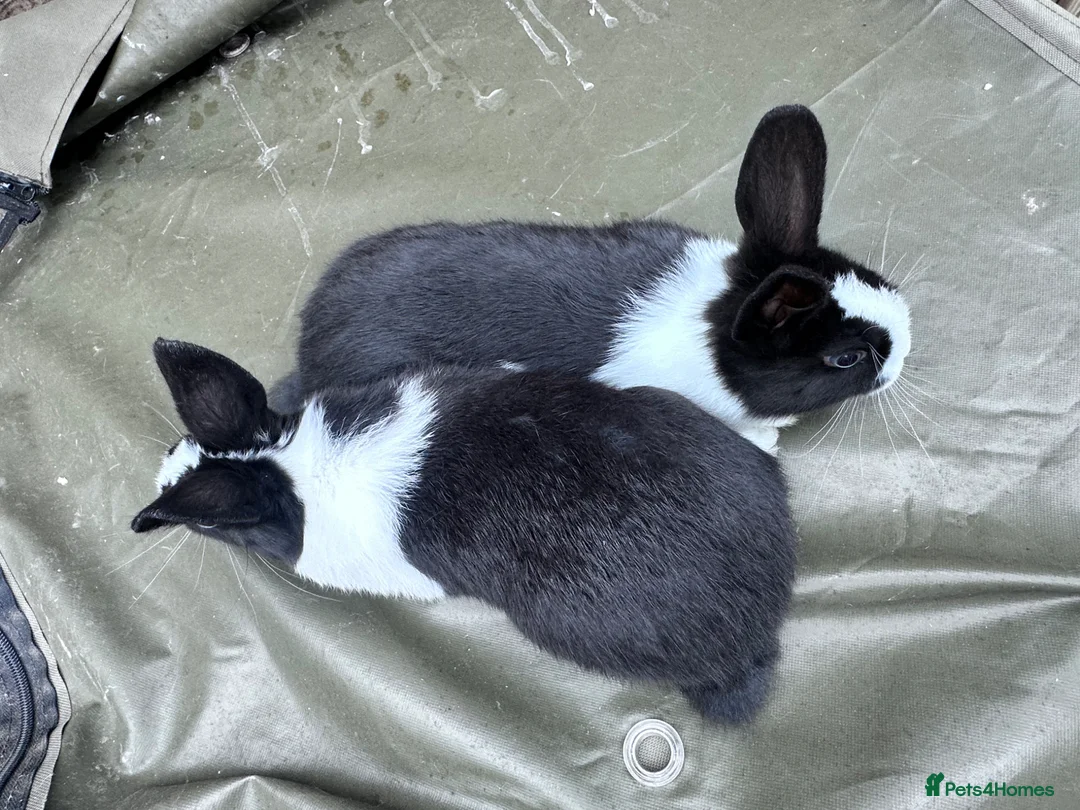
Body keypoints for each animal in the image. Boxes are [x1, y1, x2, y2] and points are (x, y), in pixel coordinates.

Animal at [278, 104, 912, 456]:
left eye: (866, 273)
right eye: (846, 359)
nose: (906, 346)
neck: (711, 327)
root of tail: (308, 355)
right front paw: (767, 437)